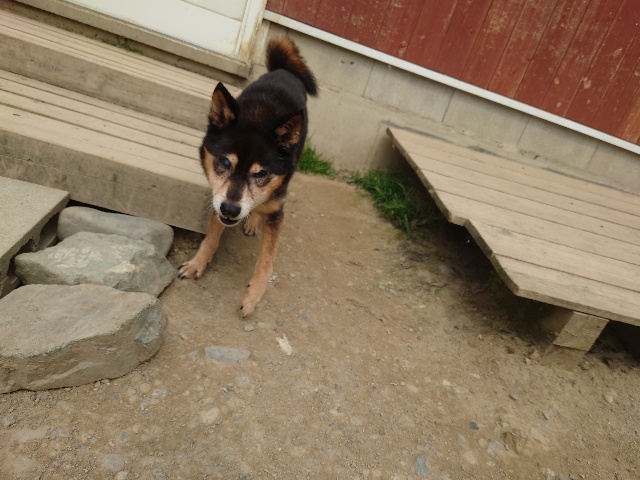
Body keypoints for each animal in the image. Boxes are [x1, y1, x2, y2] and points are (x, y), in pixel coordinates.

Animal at [178, 37, 318, 317]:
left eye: (261, 173)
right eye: (224, 162)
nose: (231, 210)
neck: (259, 118)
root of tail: (285, 70)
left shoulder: (276, 211)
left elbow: (266, 261)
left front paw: (253, 296)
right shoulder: (218, 198)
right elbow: (211, 238)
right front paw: (198, 263)